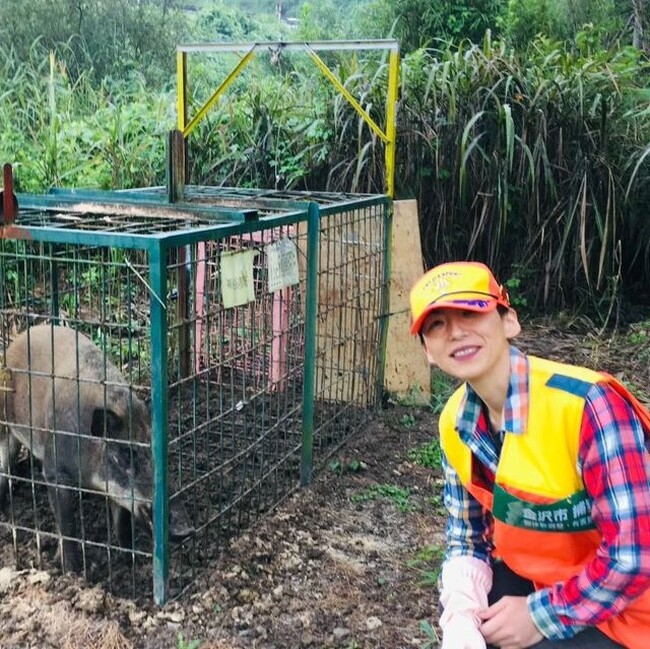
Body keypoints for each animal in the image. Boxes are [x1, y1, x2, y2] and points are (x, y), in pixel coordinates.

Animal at [0, 323, 193, 573]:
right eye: (126, 454)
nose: (185, 530)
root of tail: (17, 340)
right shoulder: (55, 472)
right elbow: (67, 526)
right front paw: (72, 571)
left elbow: (122, 523)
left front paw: (129, 560)